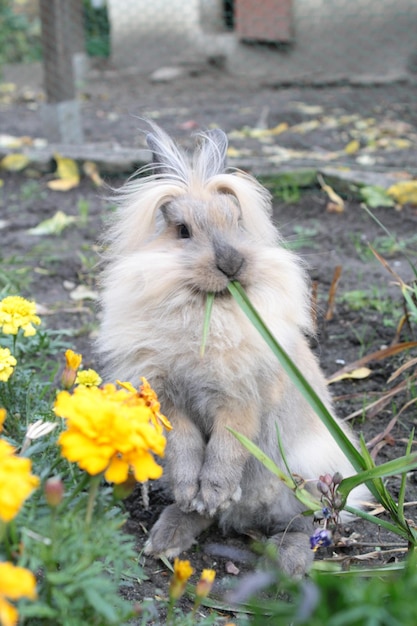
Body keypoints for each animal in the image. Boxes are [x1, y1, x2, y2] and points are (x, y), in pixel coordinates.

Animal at [98, 122, 368, 576]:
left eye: (236, 221)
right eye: (182, 231)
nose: (232, 264)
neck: (207, 310)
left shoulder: (242, 398)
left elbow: (227, 446)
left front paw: (214, 492)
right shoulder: (168, 401)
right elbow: (187, 446)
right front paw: (193, 493)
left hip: (305, 475)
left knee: (307, 521)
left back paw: (287, 563)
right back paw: (169, 536)